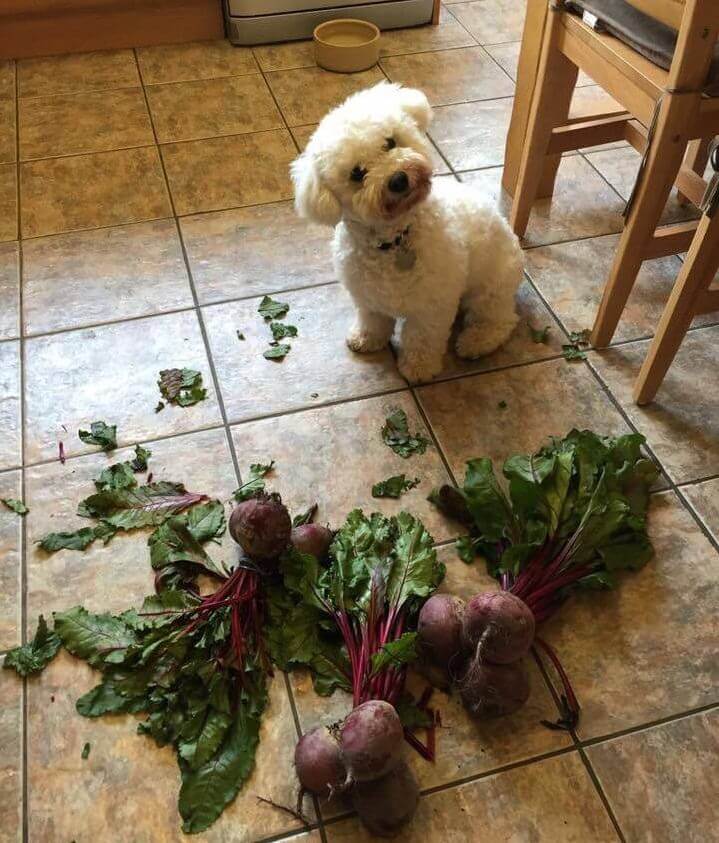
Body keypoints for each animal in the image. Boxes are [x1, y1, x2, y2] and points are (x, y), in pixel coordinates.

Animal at [292, 81, 524, 380]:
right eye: (357, 173)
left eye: (390, 142)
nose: (398, 179)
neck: (395, 239)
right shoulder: (367, 298)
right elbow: (373, 321)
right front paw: (367, 339)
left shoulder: (431, 307)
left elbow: (422, 339)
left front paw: (418, 368)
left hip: (489, 289)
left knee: (500, 319)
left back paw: (476, 341)